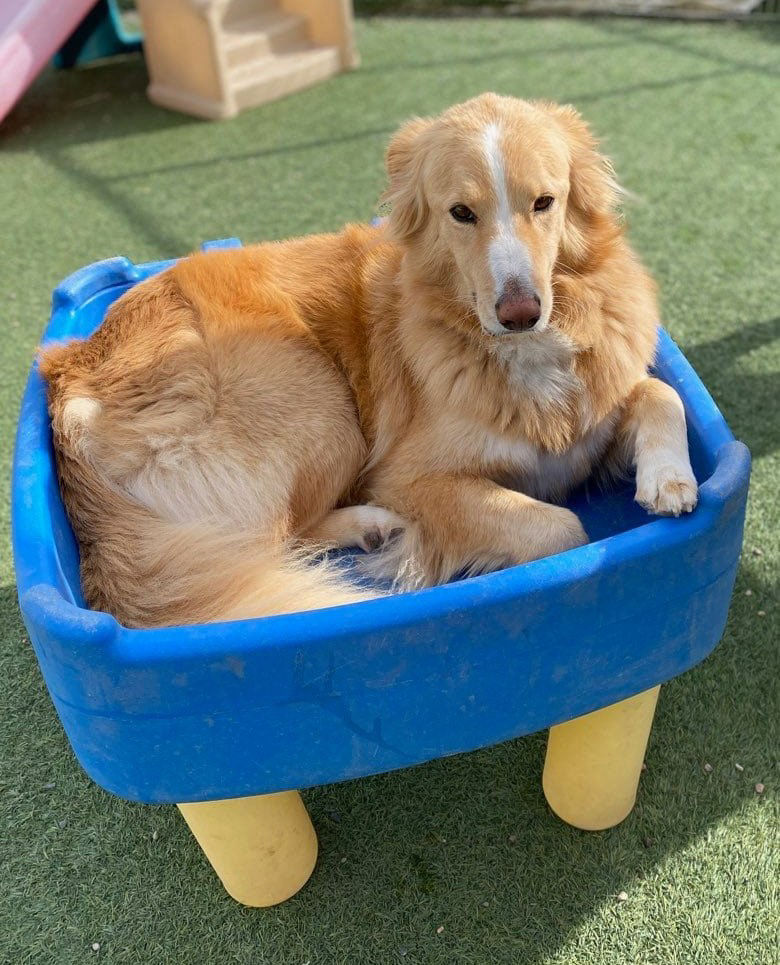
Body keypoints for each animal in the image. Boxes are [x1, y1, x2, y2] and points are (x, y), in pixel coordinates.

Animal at [39, 94, 696, 628]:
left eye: (545, 202)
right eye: (461, 213)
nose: (520, 312)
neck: (522, 348)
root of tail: (73, 373)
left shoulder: (600, 405)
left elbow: (661, 394)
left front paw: (669, 477)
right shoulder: (410, 478)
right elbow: (561, 526)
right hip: (322, 409)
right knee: (274, 542)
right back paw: (369, 526)